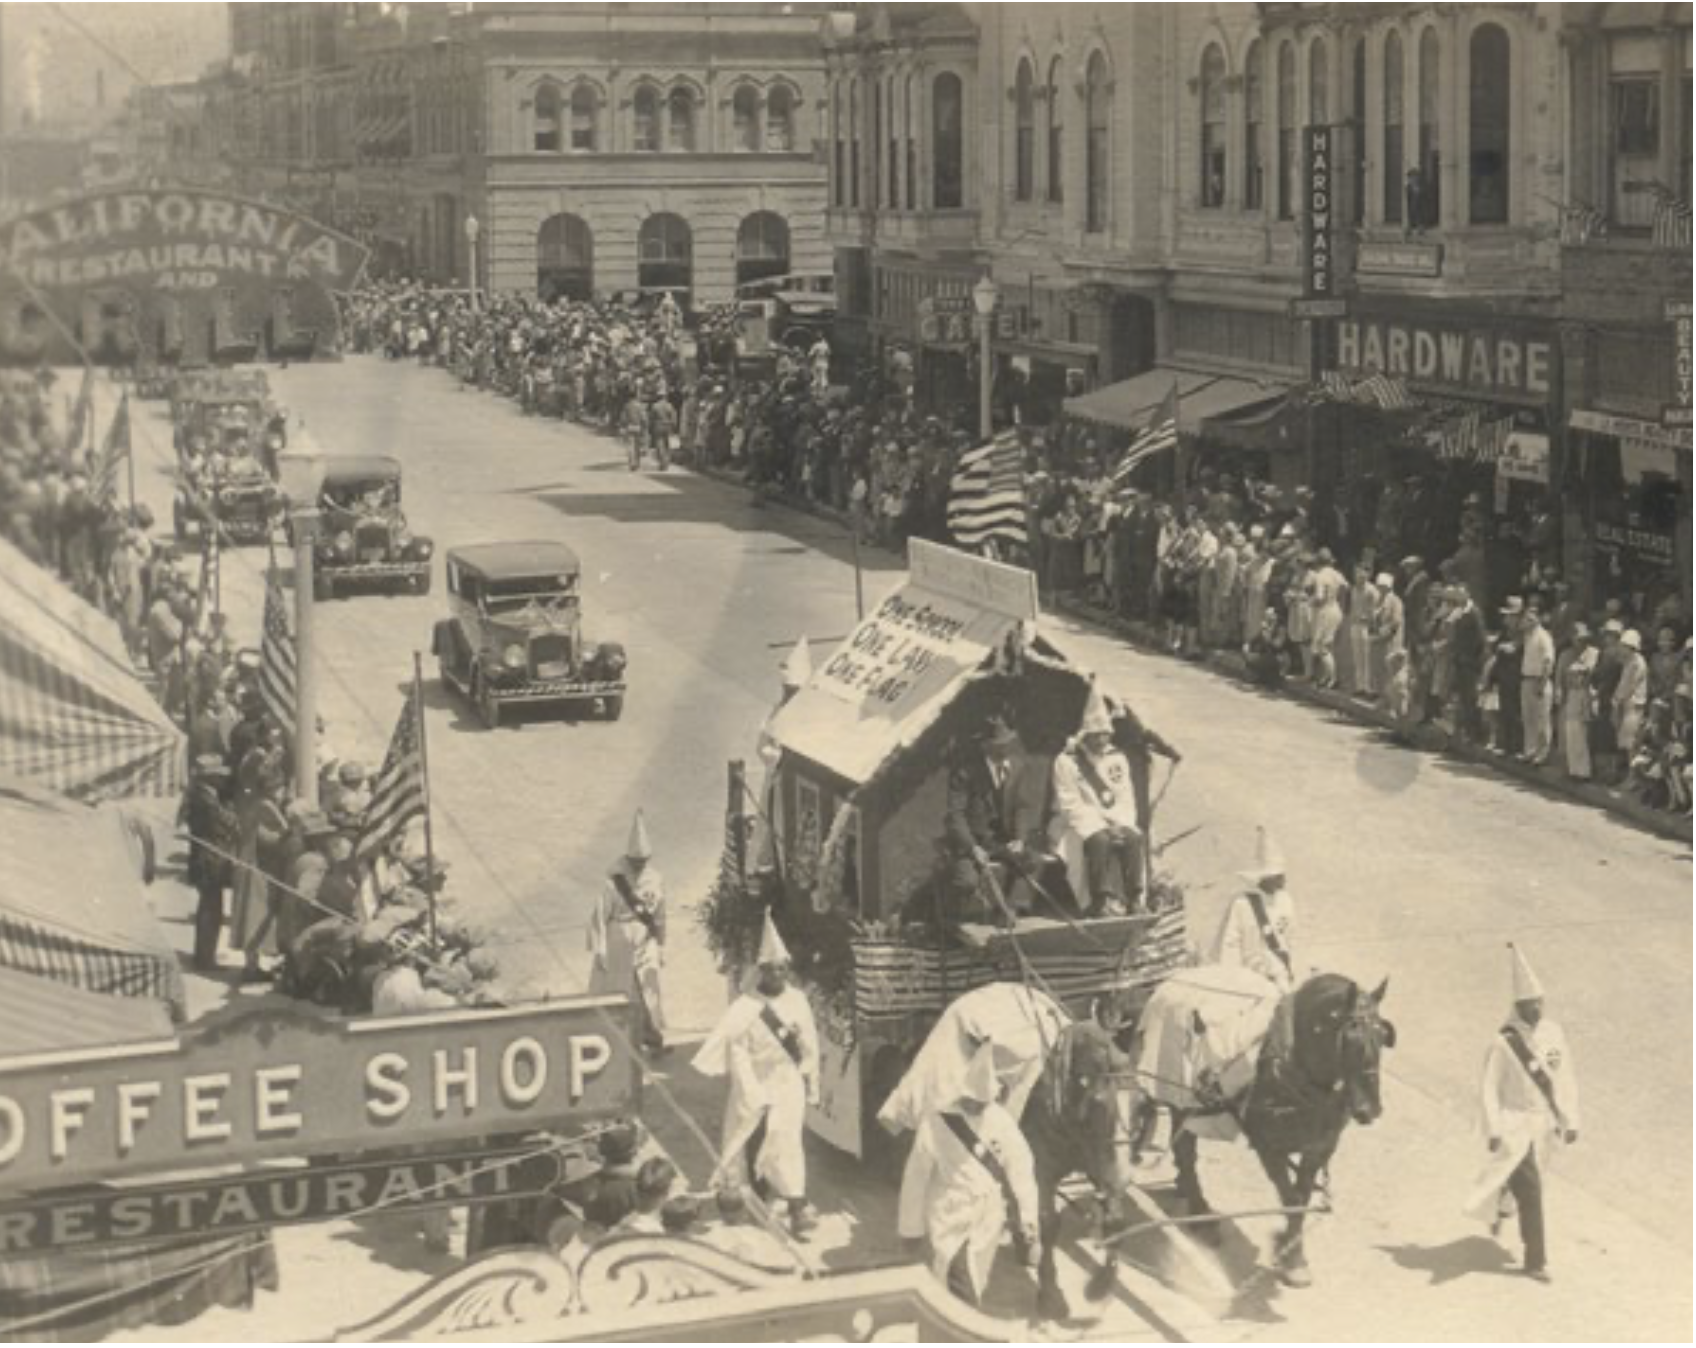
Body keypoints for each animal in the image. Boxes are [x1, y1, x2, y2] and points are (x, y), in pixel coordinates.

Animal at [1142, 971, 1395, 1286]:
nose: (1369, 1109)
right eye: (1350, 1037)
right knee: (1186, 1151)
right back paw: (1200, 1211)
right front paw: (1291, 1256)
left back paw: (1185, 1190)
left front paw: (1290, 1248)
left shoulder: (1319, 1147)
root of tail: (1174, 977)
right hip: (1179, 1096)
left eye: (1383, 1036)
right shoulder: (1269, 1147)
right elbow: (1291, 1199)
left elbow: (1302, 1198)